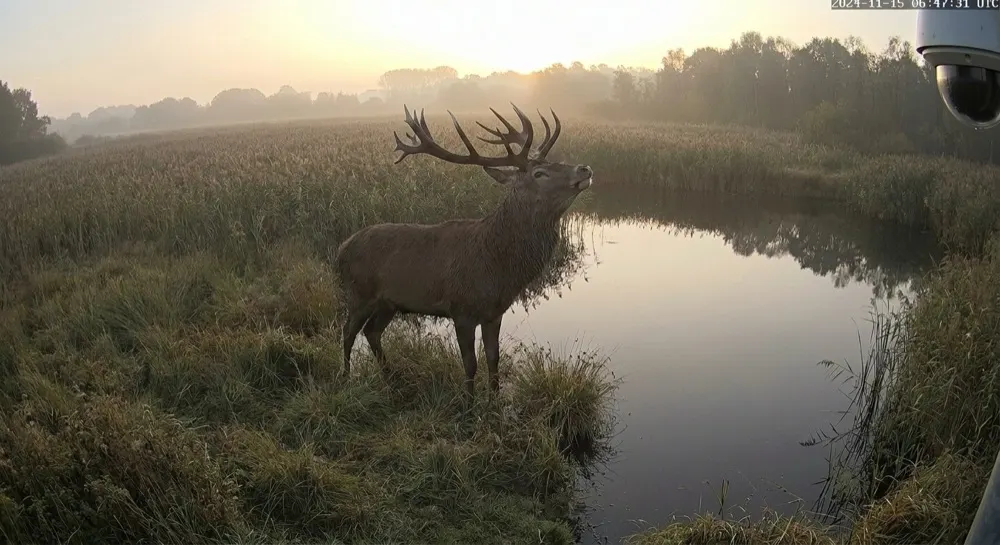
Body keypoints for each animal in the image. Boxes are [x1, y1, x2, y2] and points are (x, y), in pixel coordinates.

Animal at [334, 103, 593, 404]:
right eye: (539, 173)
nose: (585, 168)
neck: (498, 267)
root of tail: (340, 249)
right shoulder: (461, 309)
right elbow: (470, 364)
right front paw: (468, 406)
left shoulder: (494, 312)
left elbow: (493, 359)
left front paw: (494, 403)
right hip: (359, 293)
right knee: (348, 332)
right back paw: (347, 378)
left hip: (389, 303)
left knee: (372, 332)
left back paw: (392, 378)